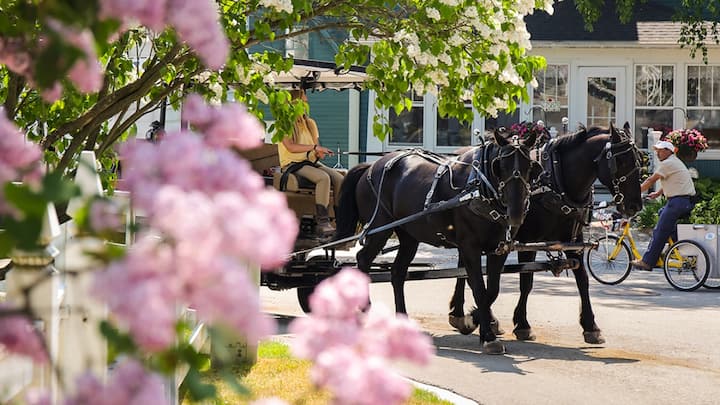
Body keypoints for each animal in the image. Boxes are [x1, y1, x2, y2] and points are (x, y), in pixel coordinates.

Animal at [334, 130, 536, 354]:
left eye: (530, 166)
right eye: (500, 165)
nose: (516, 213)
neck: (479, 187)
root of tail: (370, 166)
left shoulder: (498, 249)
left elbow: (491, 291)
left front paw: (473, 321)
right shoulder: (470, 247)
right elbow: (479, 289)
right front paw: (486, 334)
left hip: (408, 236)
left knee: (397, 273)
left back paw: (402, 321)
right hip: (380, 228)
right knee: (363, 260)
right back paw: (365, 312)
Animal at [448, 123, 644, 344]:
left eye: (639, 159)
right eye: (620, 161)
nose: (635, 205)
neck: (557, 182)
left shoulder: (574, 241)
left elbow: (583, 280)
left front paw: (591, 326)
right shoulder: (526, 242)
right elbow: (526, 282)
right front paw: (521, 324)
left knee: (464, 268)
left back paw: (464, 314)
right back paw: (476, 317)